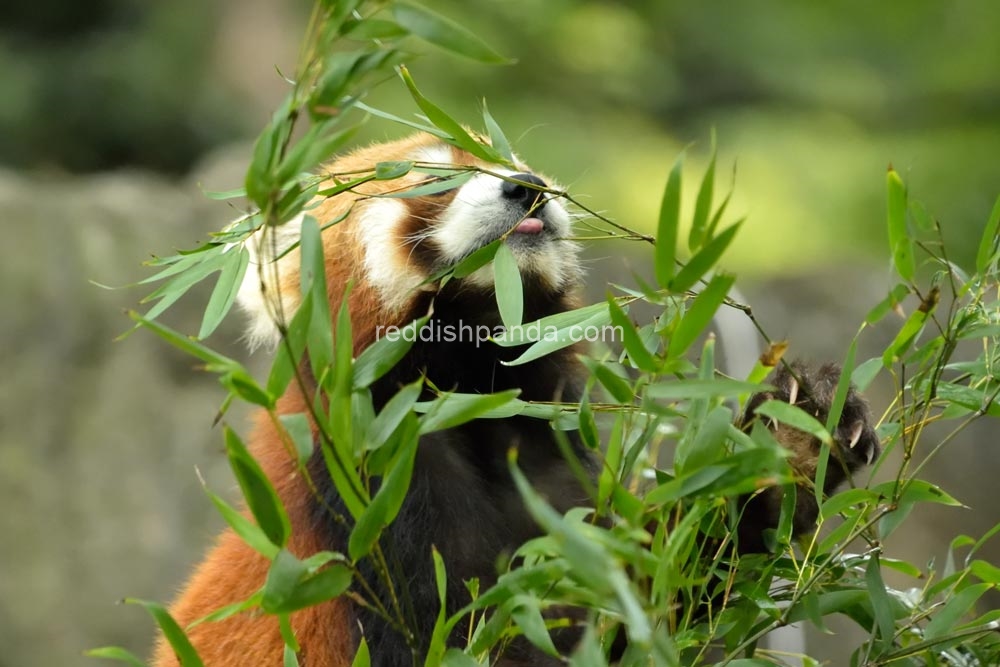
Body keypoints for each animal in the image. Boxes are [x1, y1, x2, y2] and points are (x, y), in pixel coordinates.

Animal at [152, 133, 880, 664]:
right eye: (432, 180)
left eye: (511, 159)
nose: (526, 187)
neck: (475, 397)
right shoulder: (369, 499)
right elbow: (480, 633)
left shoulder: (561, 467)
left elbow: (663, 586)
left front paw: (796, 433)